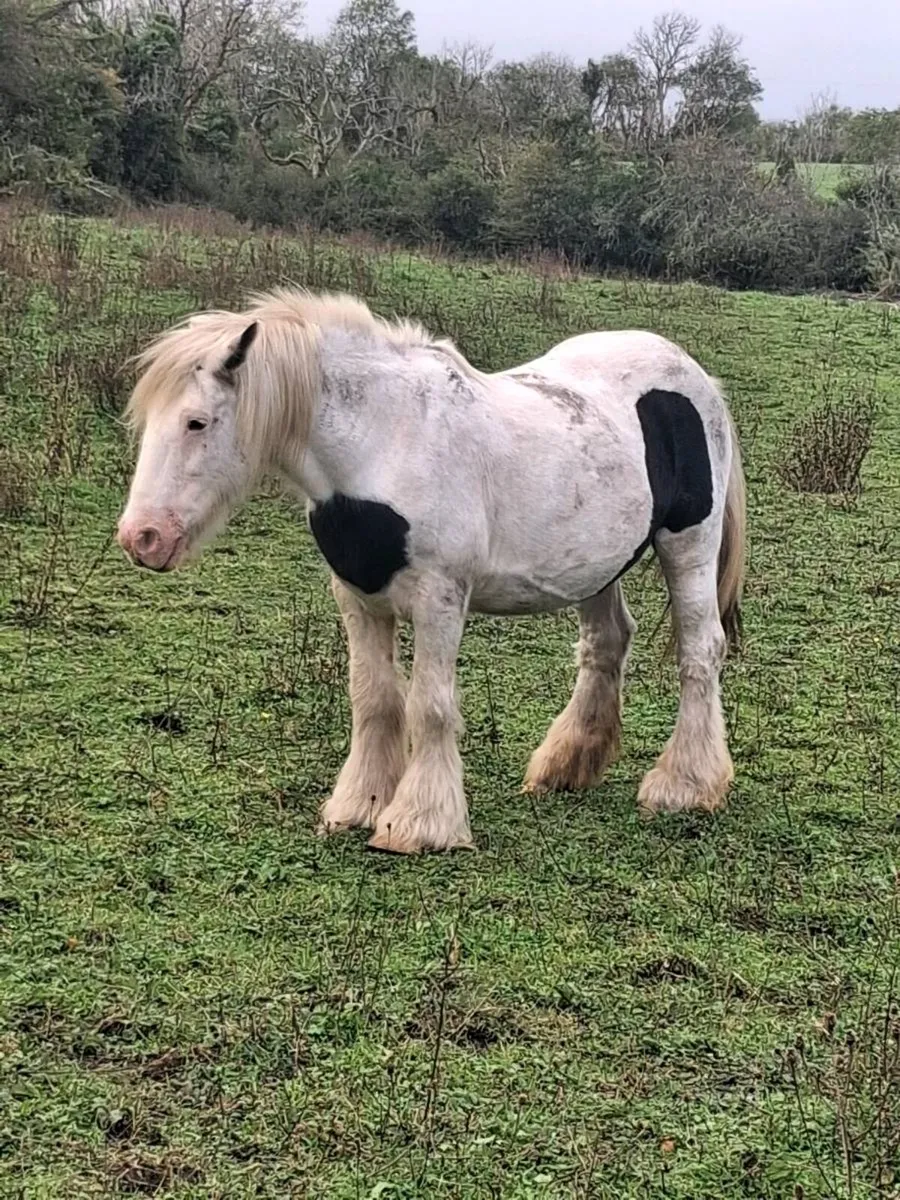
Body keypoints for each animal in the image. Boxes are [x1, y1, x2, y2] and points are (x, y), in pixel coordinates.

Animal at [117, 288, 746, 854]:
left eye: (197, 423)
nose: (142, 538)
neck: (385, 443)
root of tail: (695, 377)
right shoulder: (358, 595)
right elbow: (373, 699)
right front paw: (359, 805)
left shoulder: (440, 598)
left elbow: (430, 705)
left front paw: (420, 823)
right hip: (597, 564)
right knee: (607, 644)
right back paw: (567, 765)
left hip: (688, 543)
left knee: (700, 649)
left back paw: (685, 785)